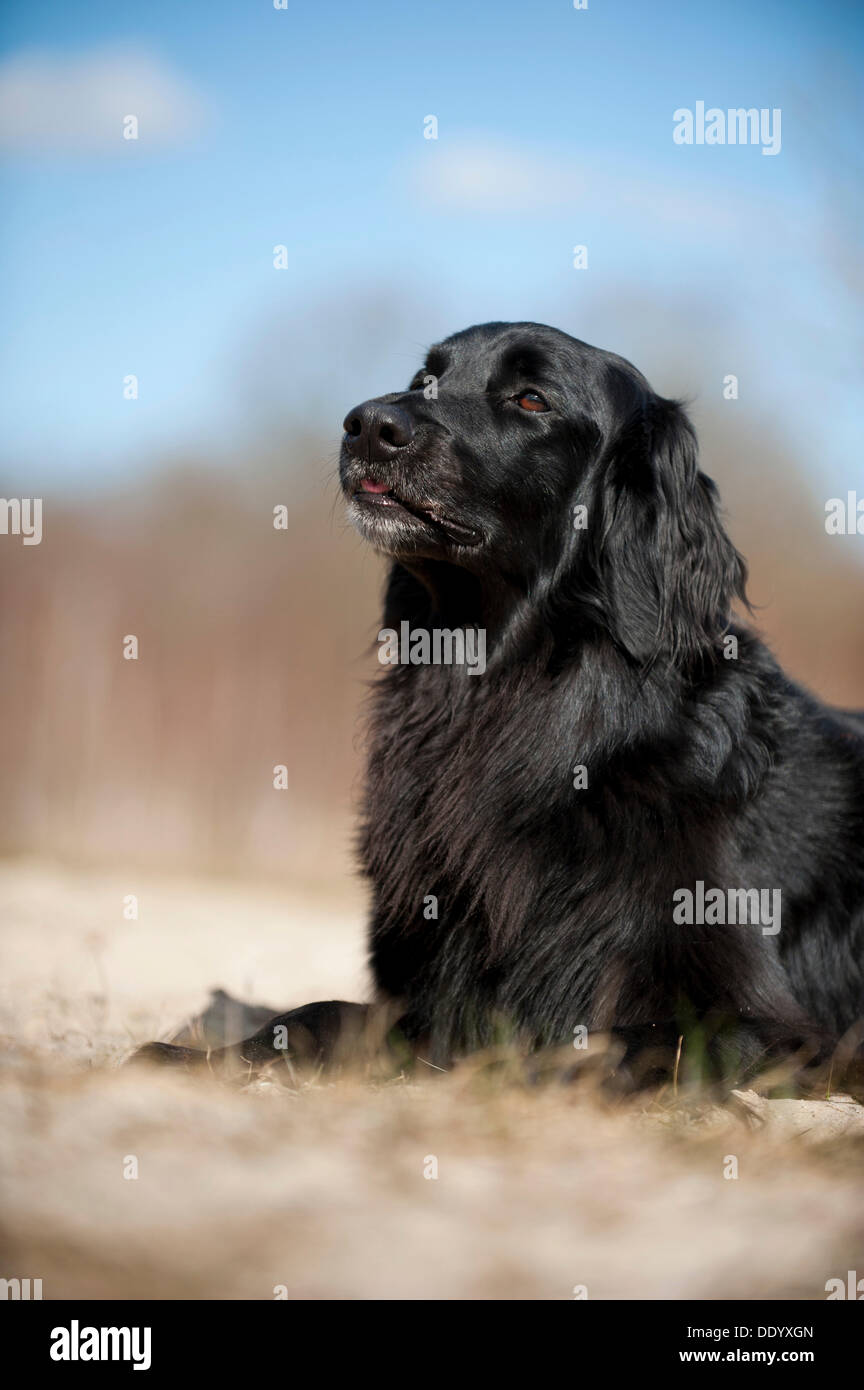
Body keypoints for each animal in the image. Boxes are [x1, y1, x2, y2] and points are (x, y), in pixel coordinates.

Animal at [136, 322, 864, 1084]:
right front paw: (198, 1055)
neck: (499, 693)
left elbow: (604, 1046)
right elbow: (318, 1013)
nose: (367, 425)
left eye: (531, 398)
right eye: (423, 379)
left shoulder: (771, 1022)